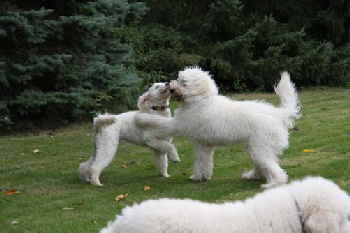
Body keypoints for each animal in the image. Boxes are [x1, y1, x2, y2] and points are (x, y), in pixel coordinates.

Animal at [135, 66, 300, 188]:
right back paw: (253, 176)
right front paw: (200, 176)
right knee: (264, 164)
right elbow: (203, 162)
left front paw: (140, 118)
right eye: (178, 79)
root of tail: (279, 114)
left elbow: (159, 121)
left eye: (184, 83)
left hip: (260, 147)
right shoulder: (203, 145)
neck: (200, 100)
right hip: (257, 147)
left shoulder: (178, 124)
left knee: (274, 169)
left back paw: (273, 183)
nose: (170, 85)